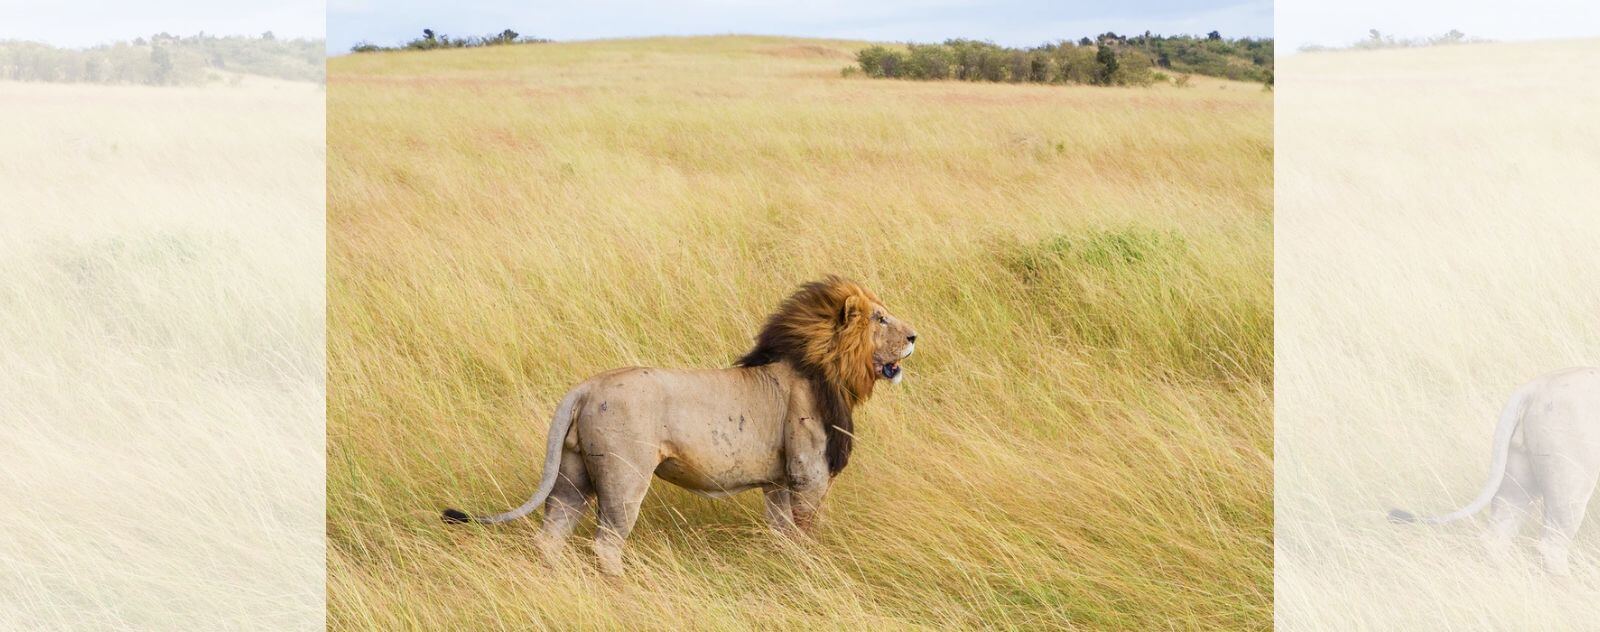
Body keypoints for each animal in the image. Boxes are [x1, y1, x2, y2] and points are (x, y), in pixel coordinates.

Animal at [438, 275, 921, 576]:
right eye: (880, 318)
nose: (915, 336)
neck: (828, 369)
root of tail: (586, 387)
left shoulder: (778, 482)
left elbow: (782, 533)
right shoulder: (808, 474)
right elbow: (805, 532)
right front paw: (810, 568)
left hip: (573, 475)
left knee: (550, 536)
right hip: (625, 477)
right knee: (606, 543)